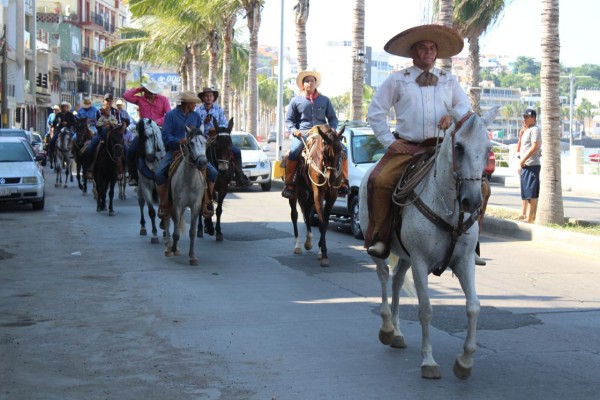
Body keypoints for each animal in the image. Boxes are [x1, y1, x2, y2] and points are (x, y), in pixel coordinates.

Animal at [164, 126, 209, 266]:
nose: (202, 162)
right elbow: (176, 232)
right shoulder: (177, 205)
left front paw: (192, 256)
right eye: (191, 143)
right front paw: (173, 248)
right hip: (169, 204)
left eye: (205, 142)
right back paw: (169, 248)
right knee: (168, 221)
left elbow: (192, 232)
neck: (189, 180)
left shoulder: (195, 206)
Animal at [288, 124, 344, 268]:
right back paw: (298, 245)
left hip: (309, 193)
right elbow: (322, 223)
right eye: (324, 152)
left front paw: (320, 250)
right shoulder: (319, 192)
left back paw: (308, 241)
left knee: (307, 212)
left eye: (340, 150)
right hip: (296, 192)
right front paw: (324, 255)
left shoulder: (332, 195)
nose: (331, 178)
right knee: (295, 215)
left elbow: (325, 221)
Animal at [360, 108, 496, 380]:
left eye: (488, 148)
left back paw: (397, 333)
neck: (448, 208)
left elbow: (473, 307)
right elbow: (425, 309)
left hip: (406, 256)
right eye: (459, 147)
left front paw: (465, 361)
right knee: (384, 276)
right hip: (380, 249)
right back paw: (387, 327)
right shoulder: (421, 262)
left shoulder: (464, 261)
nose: (472, 201)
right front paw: (428, 361)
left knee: (397, 281)